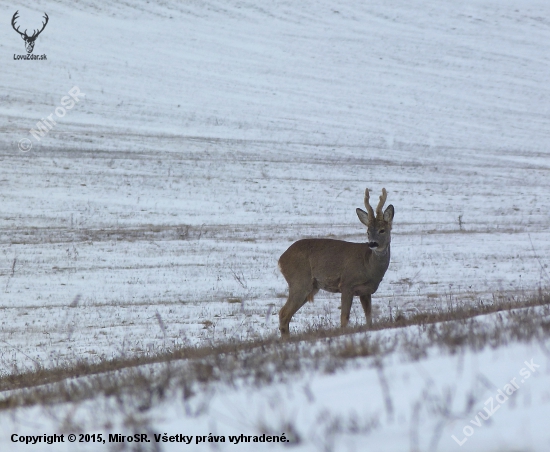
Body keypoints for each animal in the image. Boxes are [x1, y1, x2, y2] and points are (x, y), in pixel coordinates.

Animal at [280, 186, 396, 336]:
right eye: (368, 232)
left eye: (382, 230)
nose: (372, 244)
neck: (368, 266)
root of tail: (281, 260)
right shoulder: (346, 284)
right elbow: (344, 318)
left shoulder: (365, 291)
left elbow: (369, 318)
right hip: (299, 282)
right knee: (283, 313)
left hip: (310, 286)